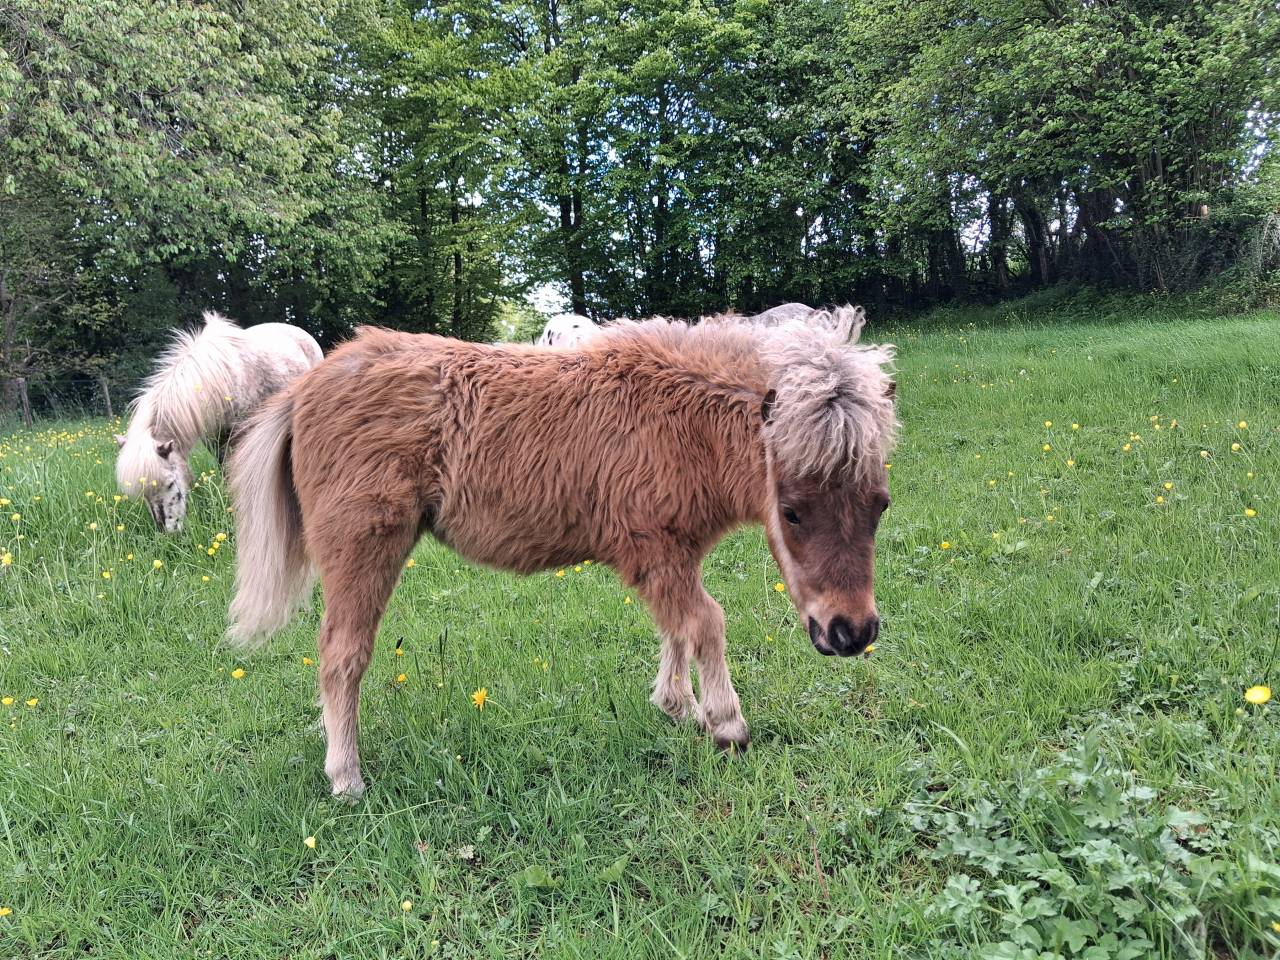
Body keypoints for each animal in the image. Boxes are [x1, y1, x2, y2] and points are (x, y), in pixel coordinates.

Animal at [225, 306, 897, 799]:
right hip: (363, 546)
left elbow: (677, 628)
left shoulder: (674, 553)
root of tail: (305, 388)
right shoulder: (652, 549)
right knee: (341, 656)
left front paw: (675, 705)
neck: (677, 420)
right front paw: (726, 724)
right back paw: (347, 778)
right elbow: (706, 622)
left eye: (880, 504)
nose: (851, 632)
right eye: (792, 511)